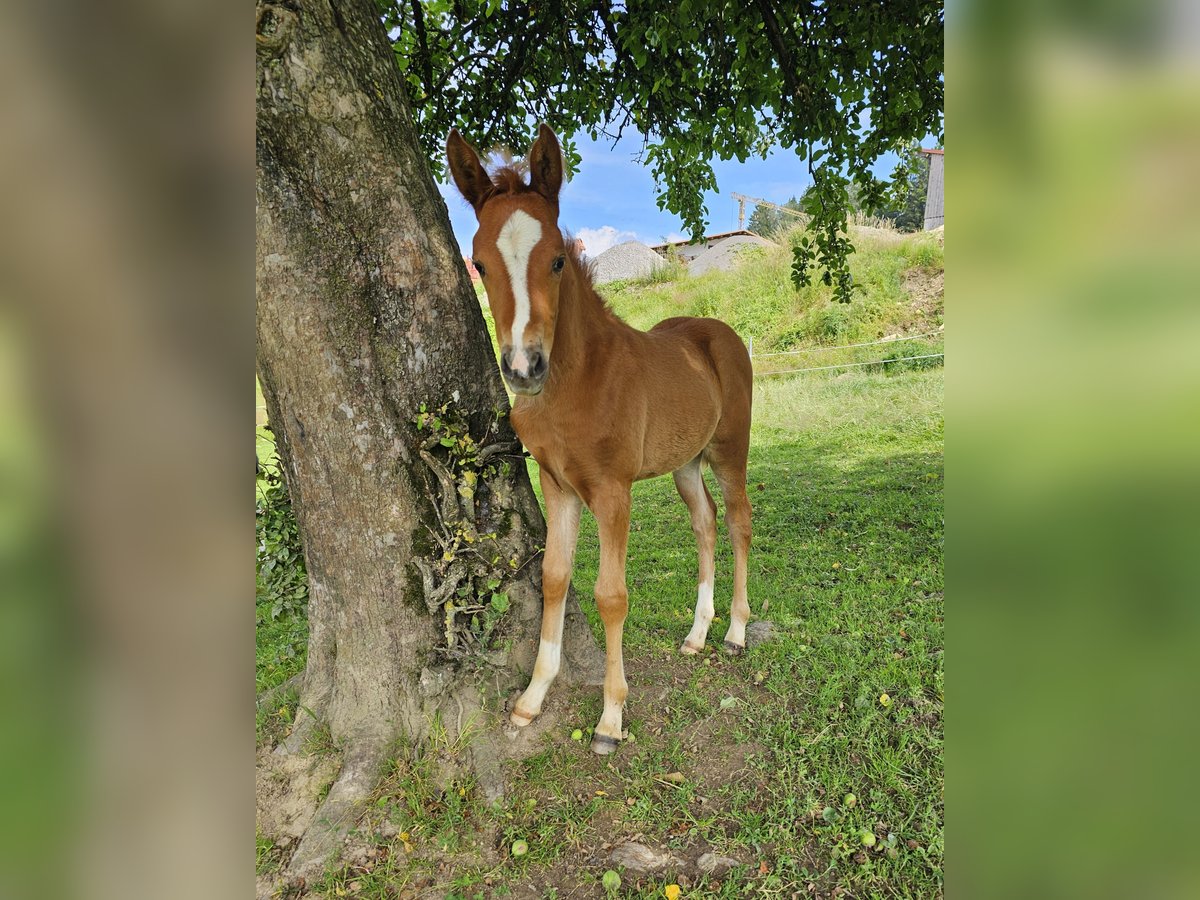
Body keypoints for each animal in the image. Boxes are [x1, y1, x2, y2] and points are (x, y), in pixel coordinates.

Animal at [451, 125, 748, 753]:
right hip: (685, 462)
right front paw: (531, 699)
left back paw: (735, 631)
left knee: (739, 522)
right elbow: (553, 579)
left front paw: (611, 717)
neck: (575, 382)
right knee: (706, 522)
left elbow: (611, 595)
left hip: (729, 452)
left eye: (558, 260)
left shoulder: (613, 491)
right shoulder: (557, 486)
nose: (523, 367)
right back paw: (698, 633)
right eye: (480, 264)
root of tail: (719, 332)